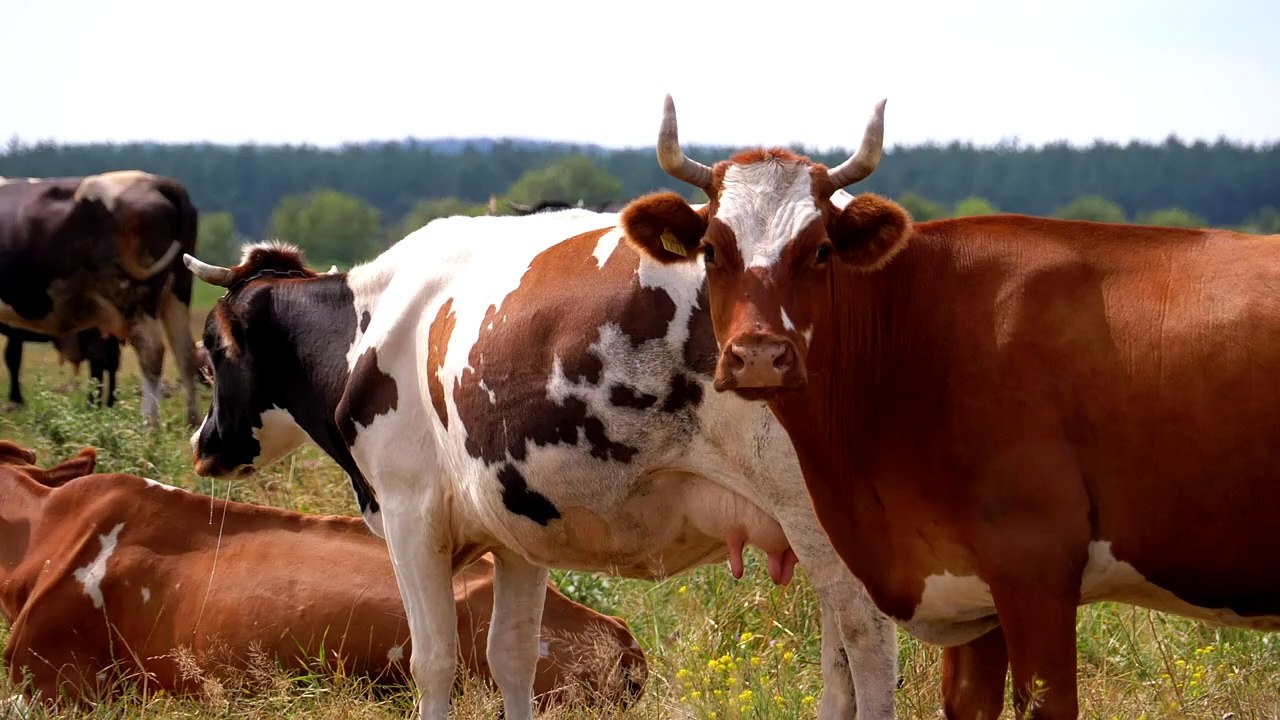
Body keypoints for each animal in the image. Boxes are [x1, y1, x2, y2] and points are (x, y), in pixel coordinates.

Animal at [0, 172, 202, 426]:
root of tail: (156, 182)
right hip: (177, 291)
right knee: (185, 352)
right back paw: (192, 421)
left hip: (134, 297)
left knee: (152, 353)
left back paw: (149, 423)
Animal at [182, 210, 899, 720]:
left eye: (212, 347)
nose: (201, 444)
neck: (374, 327)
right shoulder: (516, 528)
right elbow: (512, 656)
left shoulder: (412, 515)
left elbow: (433, 660)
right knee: (839, 658)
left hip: (818, 518)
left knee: (866, 644)